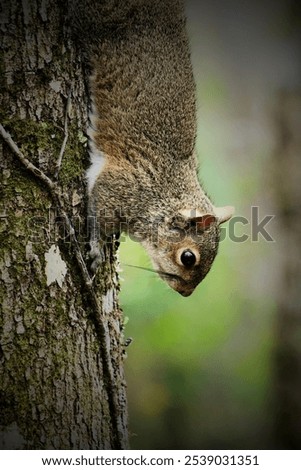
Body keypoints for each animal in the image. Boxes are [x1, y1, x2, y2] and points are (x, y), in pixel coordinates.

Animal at [69, 0, 232, 296]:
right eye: (188, 258)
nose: (186, 293)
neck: (164, 194)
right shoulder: (121, 186)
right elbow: (97, 215)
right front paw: (96, 250)